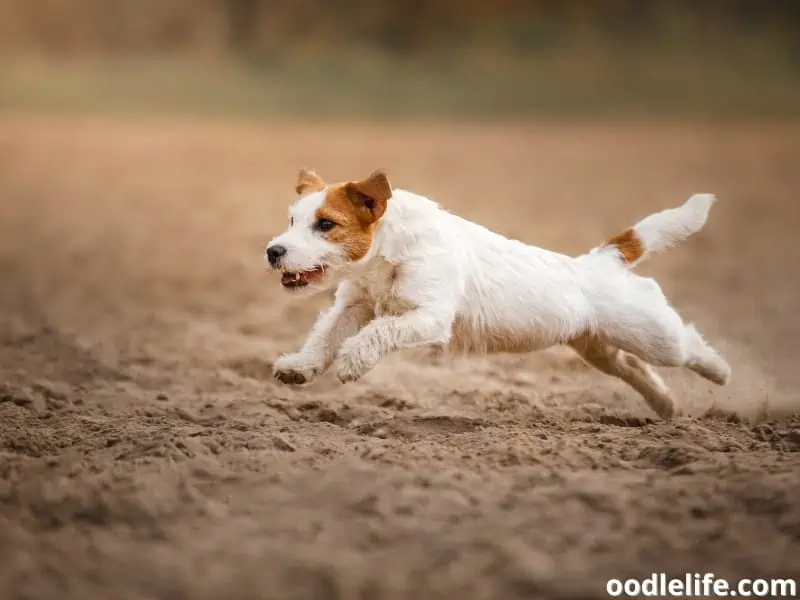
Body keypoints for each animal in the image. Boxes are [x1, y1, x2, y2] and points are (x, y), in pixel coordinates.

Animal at [266, 169, 728, 420]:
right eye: (292, 220)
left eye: (326, 224)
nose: (273, 251)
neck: (387, 251)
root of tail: (605, 259)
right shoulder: (353, 306)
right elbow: (325, 336)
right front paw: (299, 367)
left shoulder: (428, 316)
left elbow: (378, 332)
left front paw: (353, 362)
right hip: (598, 348)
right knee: (634, 367)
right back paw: (668, 409)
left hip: (654, 335)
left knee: (688, 344)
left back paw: (722, 374)